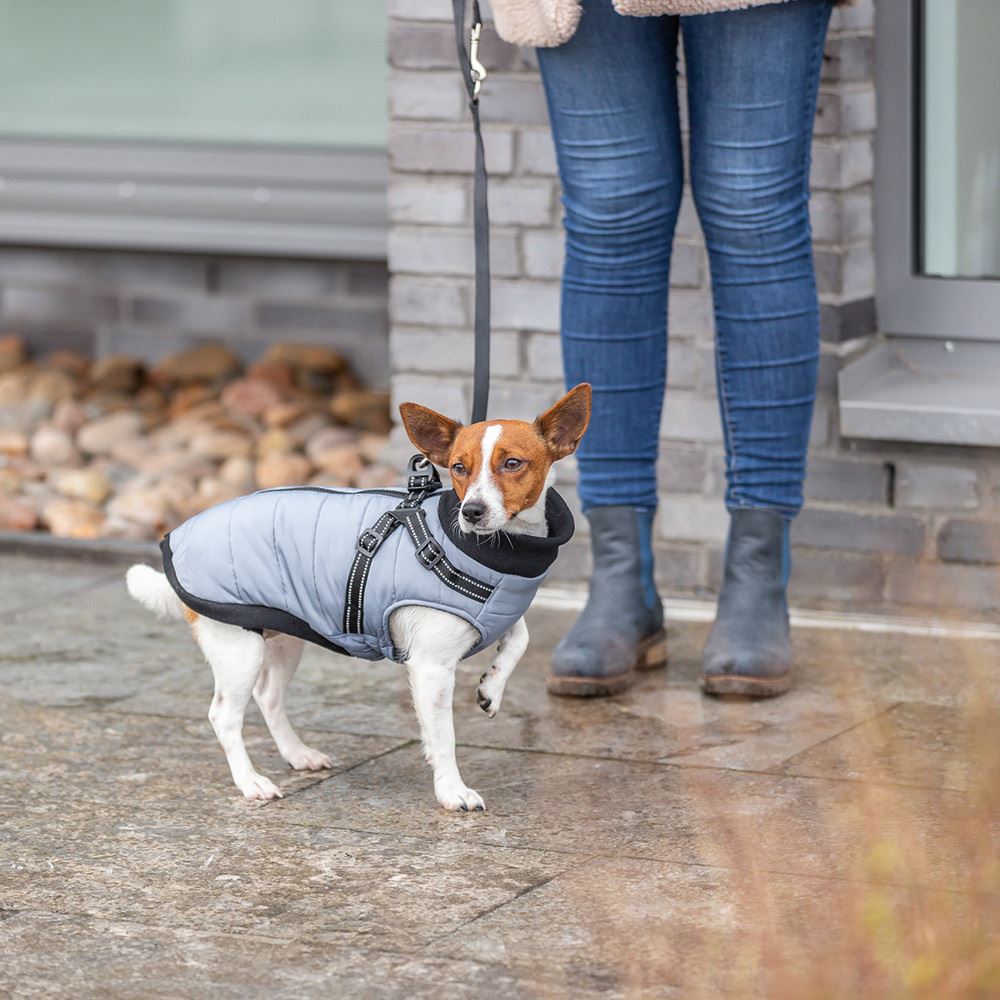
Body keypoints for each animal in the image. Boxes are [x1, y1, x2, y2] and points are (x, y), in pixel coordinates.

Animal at [128, 382, 588, 812]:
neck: (496, 553)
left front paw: (491, 688)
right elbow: (444, 737)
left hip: (282, 637)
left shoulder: (495, 616)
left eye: (512, 464)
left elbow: (520, 637)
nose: (471, 511)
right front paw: (452, 791)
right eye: (459, 468)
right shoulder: (432, 668)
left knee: (268, 697)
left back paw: (298, 754)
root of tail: (177, 539)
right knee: (223, 715)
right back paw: (250, 782)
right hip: (239, 649)